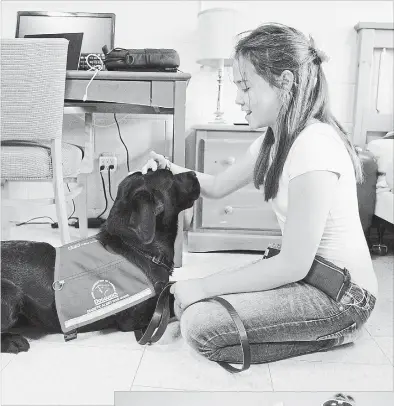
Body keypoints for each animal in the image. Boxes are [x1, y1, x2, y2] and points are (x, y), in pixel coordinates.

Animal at [0, 168, 200, 352]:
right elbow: (172, 302)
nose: (194, 174)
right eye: (170, 176)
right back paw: (12, 341)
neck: (137, 247)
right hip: (11, 293)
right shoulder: (136, 318)